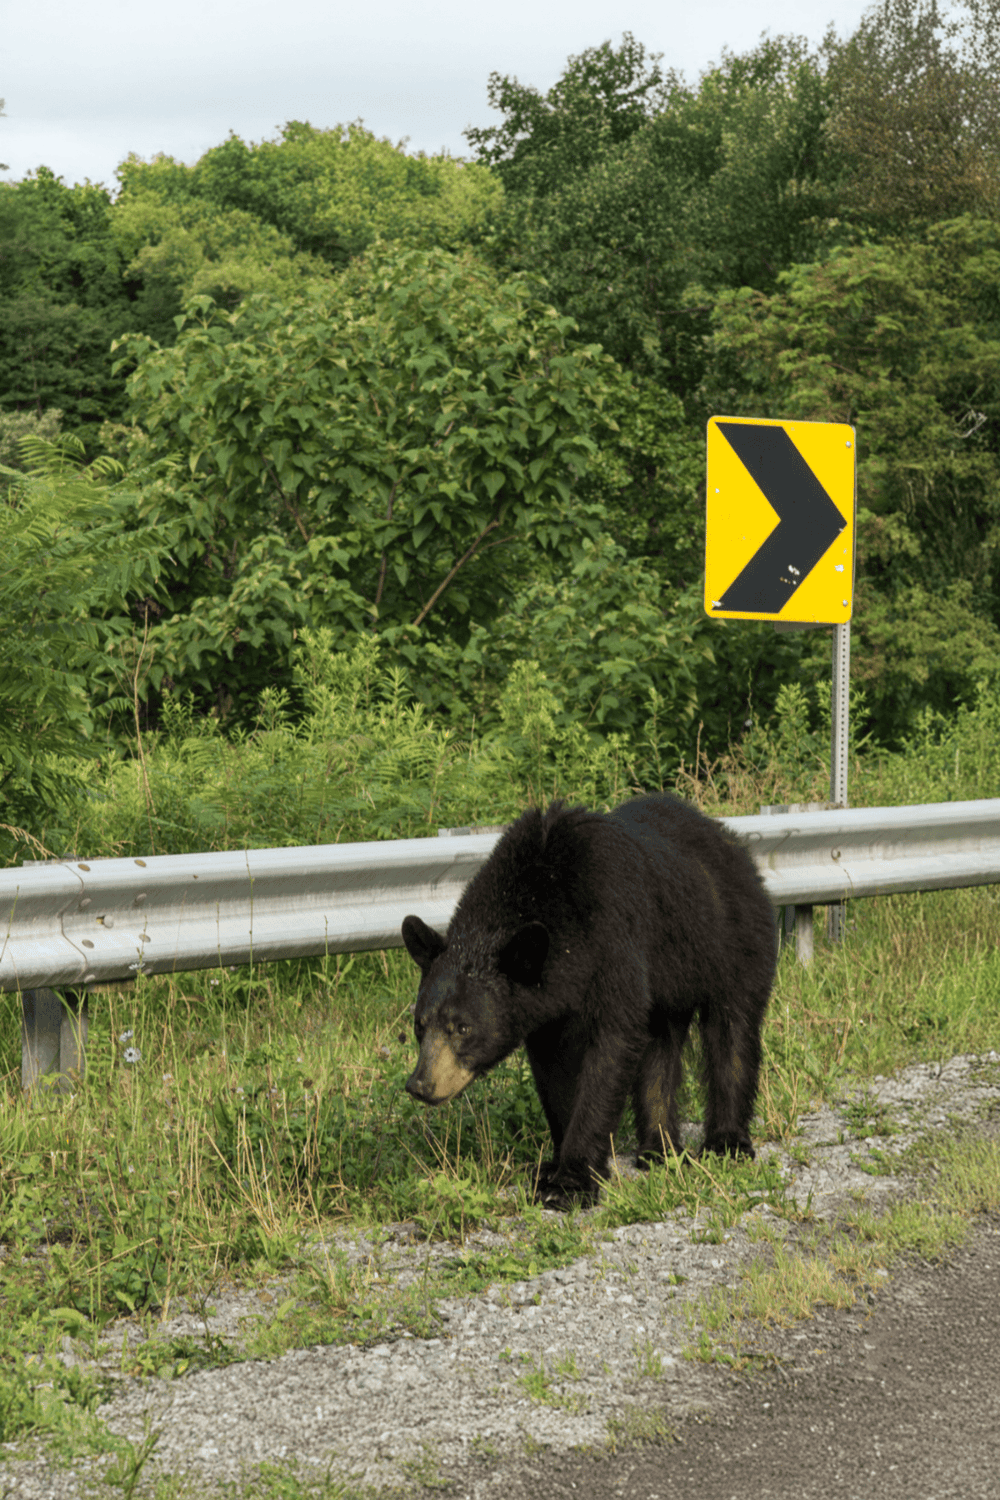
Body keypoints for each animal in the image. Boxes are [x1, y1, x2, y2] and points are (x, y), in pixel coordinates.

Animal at [401, 793, 776, 1209]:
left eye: (463, 1027)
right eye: (420, 1024)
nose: (420, 1084)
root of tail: (735, 844)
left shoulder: (613, 944)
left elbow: (609, 1052)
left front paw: (571, 1181)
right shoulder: (547, 1007)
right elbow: (554, 1073)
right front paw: (556, 1166)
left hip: (730, 941)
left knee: (731, 1032)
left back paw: (727, 1142)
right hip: (669, 984)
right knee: (660, 1049)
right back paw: (659, 1149)